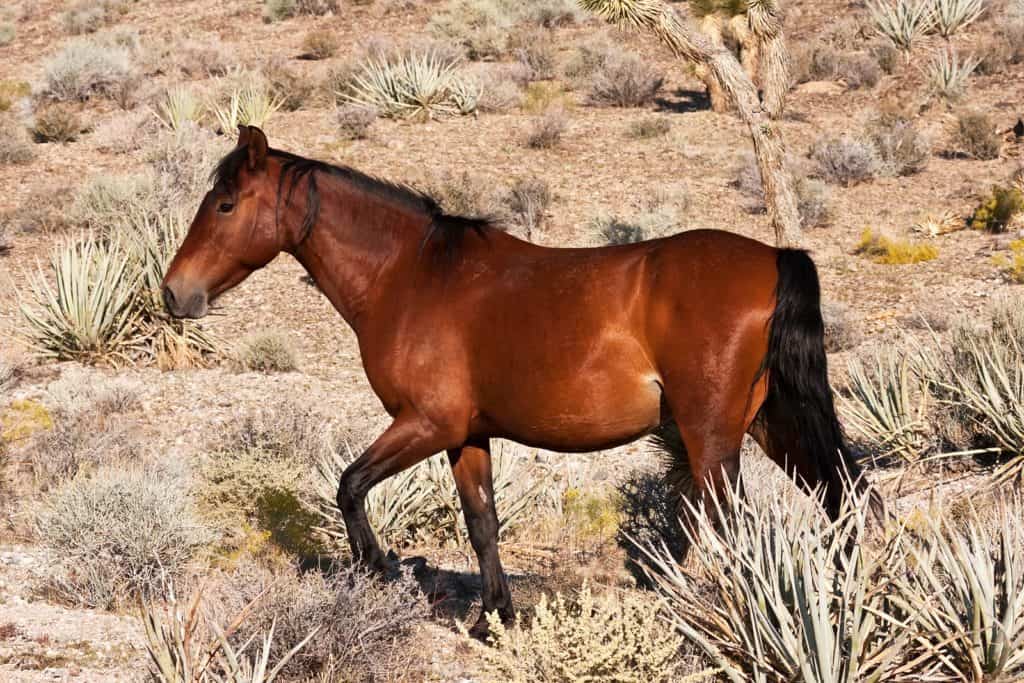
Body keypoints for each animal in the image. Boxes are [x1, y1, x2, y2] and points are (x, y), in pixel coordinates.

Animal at [162, 125, 874, 639]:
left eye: (225, 204)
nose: (175, 294)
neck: (412, 276)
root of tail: (775, 257)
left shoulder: (424, 424)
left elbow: (350, 486)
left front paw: (378, 568)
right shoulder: (465, 436)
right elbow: (482, 522)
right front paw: (495, 618)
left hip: (713, 438)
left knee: (736, 524)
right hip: (769, 423)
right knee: (844, 498)